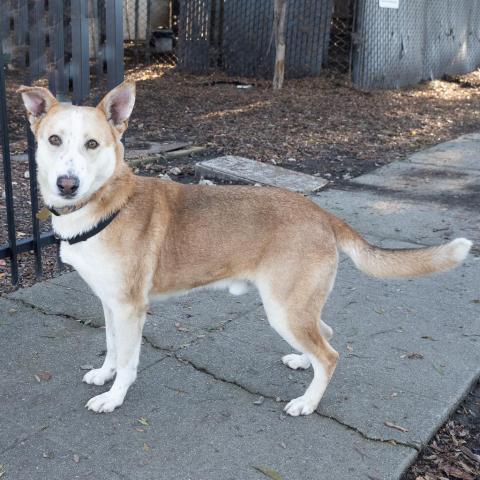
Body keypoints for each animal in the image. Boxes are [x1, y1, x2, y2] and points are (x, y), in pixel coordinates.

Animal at [19, 80, 472, 414]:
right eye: (54, 140)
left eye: (92, 144)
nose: (67, 184)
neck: (104, 202)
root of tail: (320, 212)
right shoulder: (111, 304)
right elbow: (113, 347)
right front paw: (104, 374)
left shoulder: (131, 308)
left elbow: (129, 361)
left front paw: (114, 397)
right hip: (296, 308)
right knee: (324, 335)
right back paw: (302, 362)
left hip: (284, 309)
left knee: (330, 355)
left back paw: (307, 402)